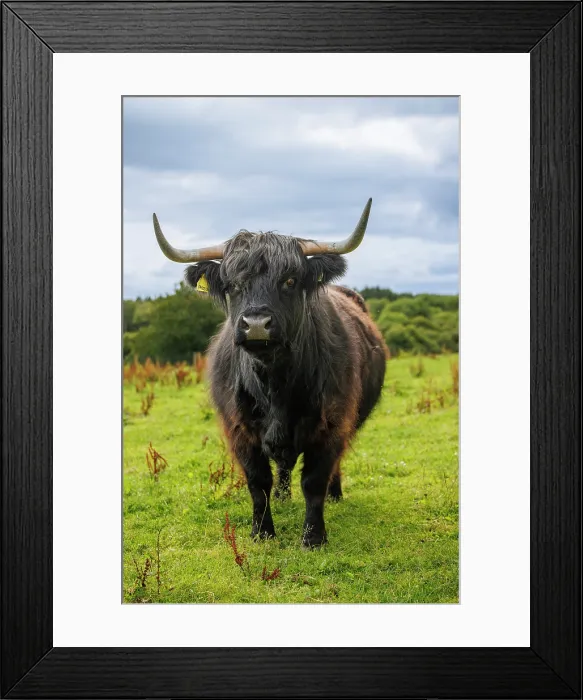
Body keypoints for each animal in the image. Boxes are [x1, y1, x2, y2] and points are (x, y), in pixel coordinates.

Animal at [152, 199, 388, 547]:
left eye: (289, 281)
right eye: (233, 285)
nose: (256, 324)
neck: (274, 382)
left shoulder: (332, 423)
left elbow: (315, 480)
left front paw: (313, 538)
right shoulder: (239, 429)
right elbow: (257, 481)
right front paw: (262, 532)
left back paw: (335, 494)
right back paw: (282, 497)